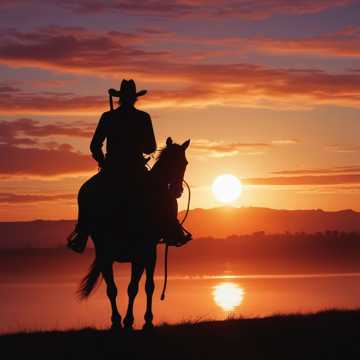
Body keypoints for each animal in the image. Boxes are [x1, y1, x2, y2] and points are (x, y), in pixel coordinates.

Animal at [75, 137, 190, 330]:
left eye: (184, 163)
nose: (177, 190)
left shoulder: (145, 253)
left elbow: (143, 286)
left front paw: (134, 320)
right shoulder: (146, 252)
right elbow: (137, 287)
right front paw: (138, 320)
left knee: (112, 288)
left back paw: (116, 321)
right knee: (115, 288)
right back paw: (118, 320)